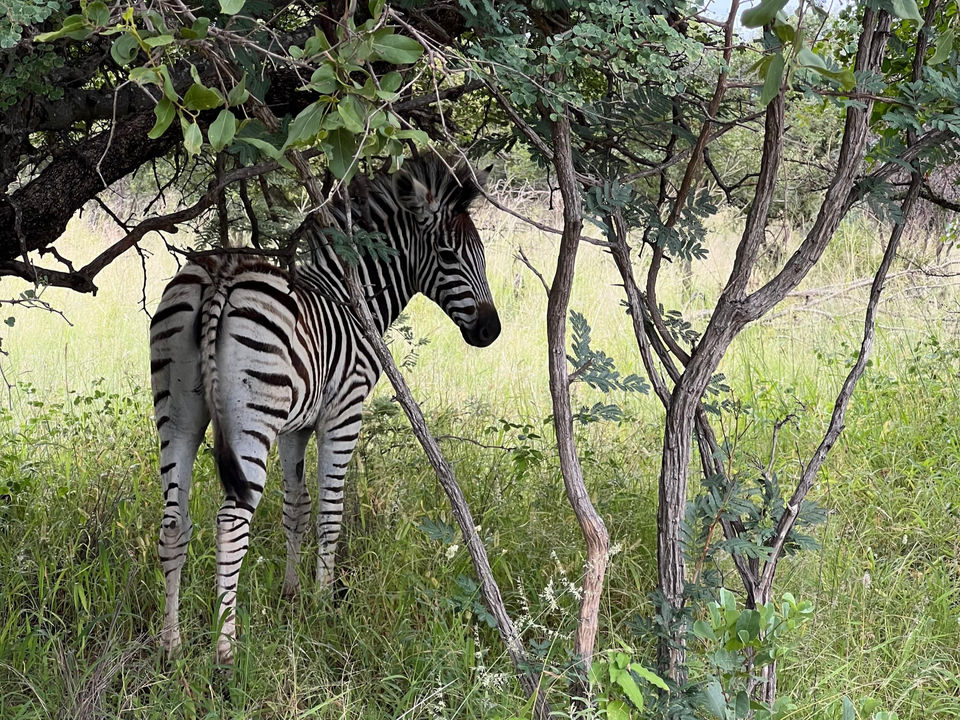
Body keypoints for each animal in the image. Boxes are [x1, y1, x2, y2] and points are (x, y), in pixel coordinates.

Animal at [149, 157, 500, 664]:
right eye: (449, 256)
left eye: (483, 256)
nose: (491, 331)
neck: (355, 298)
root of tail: (222, 276)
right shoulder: (343, 413)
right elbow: (331, 513)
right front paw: (321, 604)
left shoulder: (296, 426)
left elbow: (297, 506)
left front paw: (292, 595)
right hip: (249, 423)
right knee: (230, 526)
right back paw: (225, 650)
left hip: (178, 414)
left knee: (174, 524)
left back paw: (171, 645)